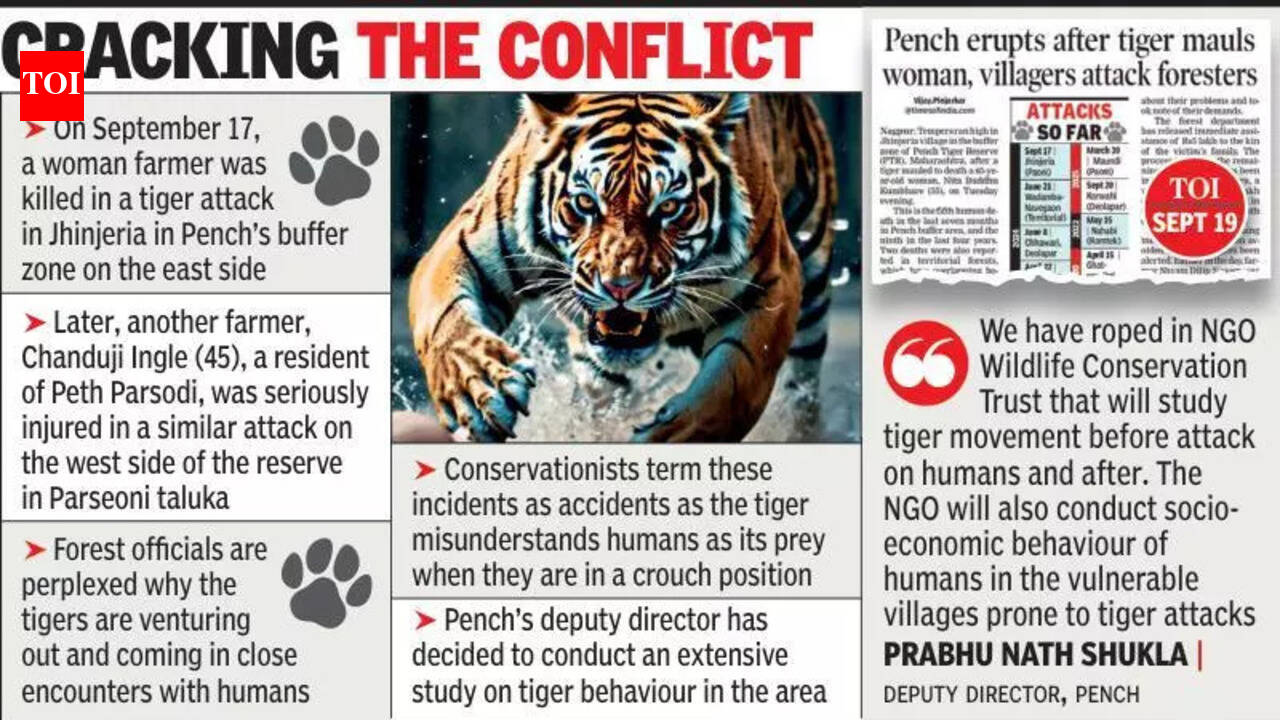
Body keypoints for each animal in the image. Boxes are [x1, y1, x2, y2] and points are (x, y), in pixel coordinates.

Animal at [408, 92, 837, 442]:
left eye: (669, 207)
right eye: (585, 203)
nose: (620, 287)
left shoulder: (775, 281)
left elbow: (732, 388)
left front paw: (666, 436)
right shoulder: (466, 242)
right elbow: (446, 321)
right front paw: (478, 387)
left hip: (813, 287)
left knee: (802, 392)